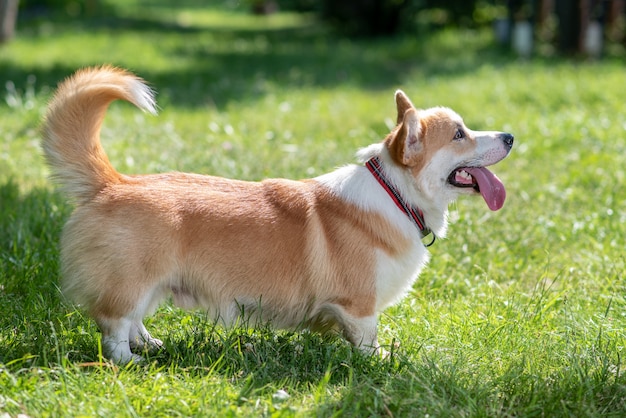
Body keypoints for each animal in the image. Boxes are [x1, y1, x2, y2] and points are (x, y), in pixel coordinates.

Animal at [42, 65, 512, 362]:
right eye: (460, 134)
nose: (509, 135)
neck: (395, 193)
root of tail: (112, 182)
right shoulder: (358, 307)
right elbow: (368, 342)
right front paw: (382, 365)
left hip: (153, 284)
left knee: (133, 321)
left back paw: (152, 346)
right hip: (133, 280)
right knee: (114, 326)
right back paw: (130, 362)